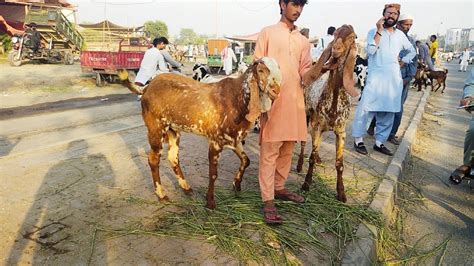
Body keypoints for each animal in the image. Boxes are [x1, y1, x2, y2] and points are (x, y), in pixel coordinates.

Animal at [119, 58, 282, 210]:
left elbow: (246, 160)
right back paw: (161, 194)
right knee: (153, 159)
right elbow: (213, 173)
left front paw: (236, 185)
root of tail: (146, 87)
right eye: (261, 70)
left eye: (278, 69)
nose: (276, 90)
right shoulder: (215, 141)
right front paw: (210, 202)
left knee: (173, 158)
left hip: (173, 131)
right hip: (156, 129)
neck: (237, 99)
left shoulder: (234, 140)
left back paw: (186, 188)